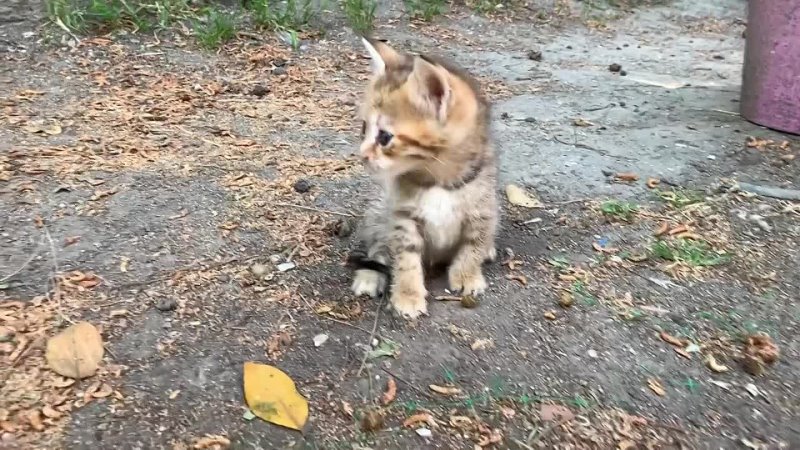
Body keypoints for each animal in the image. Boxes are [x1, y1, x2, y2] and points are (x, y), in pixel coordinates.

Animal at [348, 38, 496, 320]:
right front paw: (408, 295)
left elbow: (473, 245)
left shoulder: (482, 209)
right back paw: (370, 276)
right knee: (378, 248)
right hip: (378, 213)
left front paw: (467, 275)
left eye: (384, 137)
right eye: (362, 128)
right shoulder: (402, 217)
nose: (361, 155)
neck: (438, 180)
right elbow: (406, 259)